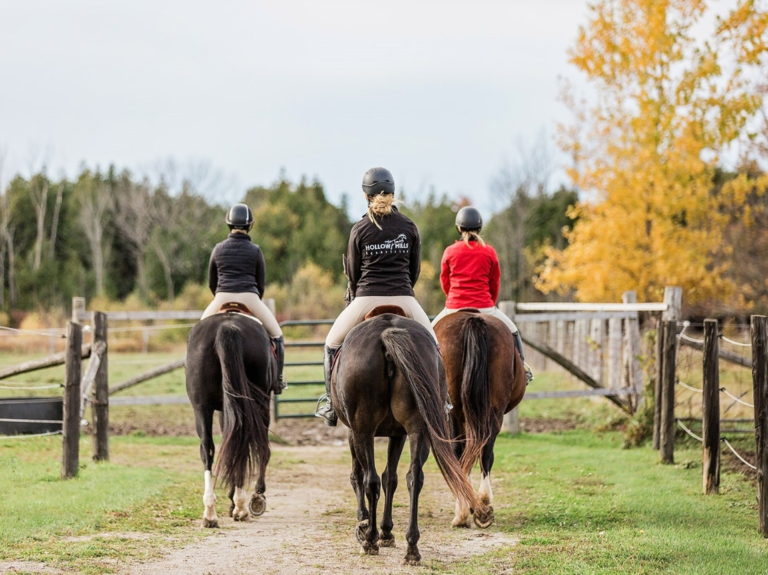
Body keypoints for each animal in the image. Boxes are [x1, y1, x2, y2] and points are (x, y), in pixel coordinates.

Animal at [185, 311, 275, 528]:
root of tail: (227, 327)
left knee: (207, 449)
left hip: (201, 408)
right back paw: (242, 506)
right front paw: (252, 498)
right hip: (258, 403)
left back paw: (210, 513)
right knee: (249, 446)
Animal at [331, 309, 482, 566]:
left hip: (364, 429)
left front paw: (365, 524)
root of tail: (387, 333)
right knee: (414, 477)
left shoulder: (354, 432)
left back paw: (370, 541)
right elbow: (391, 478)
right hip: (418, 429)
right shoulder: (398, 434)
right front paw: (387, 532)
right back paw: (411, 547)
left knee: (370, 480)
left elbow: (359, 475)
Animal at [433, 310, 526, 529]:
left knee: (462, 452)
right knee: (485, 450)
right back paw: (481, 504)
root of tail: (472, 320)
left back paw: (467, 509)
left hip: (455, 412)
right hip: (493, 410)